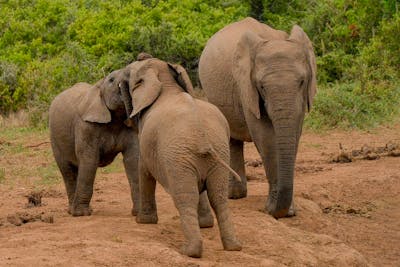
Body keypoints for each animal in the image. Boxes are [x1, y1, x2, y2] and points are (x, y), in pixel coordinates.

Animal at [48, 69, 139, 218]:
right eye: (111, 80)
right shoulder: (85, 125)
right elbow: (89, 160)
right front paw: (81, 214)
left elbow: (132, 160)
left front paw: (138, 213)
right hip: (54, 138)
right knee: (68, 171)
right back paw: (72, 211)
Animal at [119, 55, 242, 258]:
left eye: (128, 76)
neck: (166, 82)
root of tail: (202, 137)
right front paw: (205, 224)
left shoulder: (146, 141)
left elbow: (144, 171)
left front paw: (143, 221)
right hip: (217, 153)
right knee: (219, 197)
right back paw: (233, 247)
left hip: (177, 159)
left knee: (185, 198)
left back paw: (189, 251)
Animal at [198, 16, 318, 219]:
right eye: (261, 86)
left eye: (302, 82)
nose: (275, 211)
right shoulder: (246, 87)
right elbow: (265, 136)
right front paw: (274, 210)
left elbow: (294, 133)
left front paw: (288, 211)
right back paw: (233, 196)